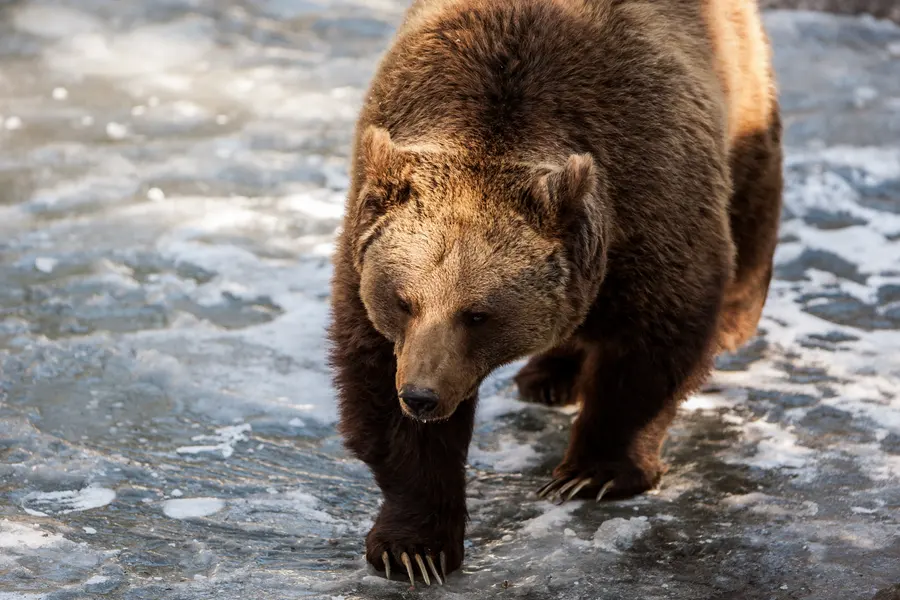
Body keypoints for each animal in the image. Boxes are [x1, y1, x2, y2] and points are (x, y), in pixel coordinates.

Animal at [327, 0, 782, 586]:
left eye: (478, 314)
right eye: (403, 301)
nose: (423, 396)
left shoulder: (649, 195)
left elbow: (652, 342)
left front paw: (592, 472)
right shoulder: (367, 250)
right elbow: (378, 386)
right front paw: (414, 547)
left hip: (742, 94)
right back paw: (548, 375)